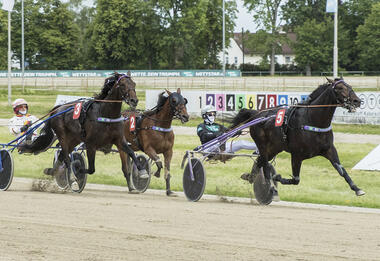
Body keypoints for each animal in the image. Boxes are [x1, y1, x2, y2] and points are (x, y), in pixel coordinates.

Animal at [18, 71, 148, 187]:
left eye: (134, 84)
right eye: (122, 85)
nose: (134, 100)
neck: (106, 115)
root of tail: (58, 108)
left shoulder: (119, 140)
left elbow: (131, 152)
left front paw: (142, 171)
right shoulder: (91, 144)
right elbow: (91, 169)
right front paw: (77, 170)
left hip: (75, 139)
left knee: (62, 155)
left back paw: (52, 171)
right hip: (62, 136)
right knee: (66, 156)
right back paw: (70, 175)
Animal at [229, 78, 366, 196]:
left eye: (350, 86)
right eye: (340, 88)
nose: (357, 101)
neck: (313, 120)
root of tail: (257, 113)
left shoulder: (329, 149)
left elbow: (342, 170)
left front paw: (357, 188)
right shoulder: (296, 155)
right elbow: (296, 179)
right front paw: (277, 177)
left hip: (274, 148)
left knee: (260, 161)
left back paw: (250, 177)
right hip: (262, 145)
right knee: (265, 166)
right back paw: (270, 186)